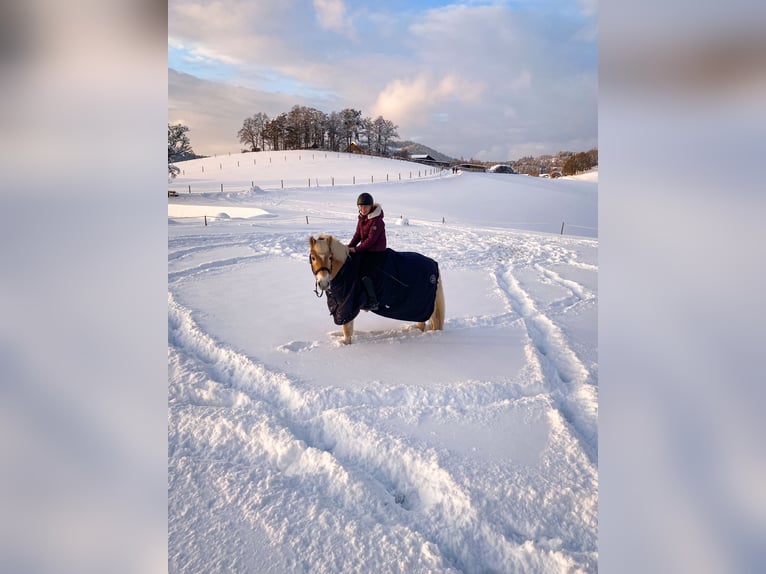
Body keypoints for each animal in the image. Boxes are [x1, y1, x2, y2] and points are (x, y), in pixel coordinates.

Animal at [308, 235, 448, 346]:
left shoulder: (347, 306)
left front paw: (346, 344)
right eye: (313, 258)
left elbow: (347, 329)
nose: (323, 283)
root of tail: (433, 264)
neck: (345, 269)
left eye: (330, 257)